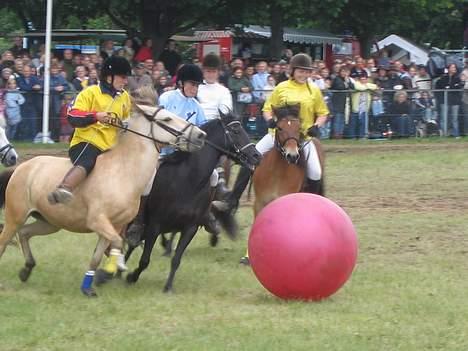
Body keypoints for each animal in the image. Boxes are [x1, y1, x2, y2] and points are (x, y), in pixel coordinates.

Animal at [121, 112, 260, 292]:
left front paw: (168, 287)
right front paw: (132, 277)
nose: (257, 156)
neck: (188, 181)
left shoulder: (189, 228)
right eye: (236, 130)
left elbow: (176, 260)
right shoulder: (155, 226)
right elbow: (145, 260)